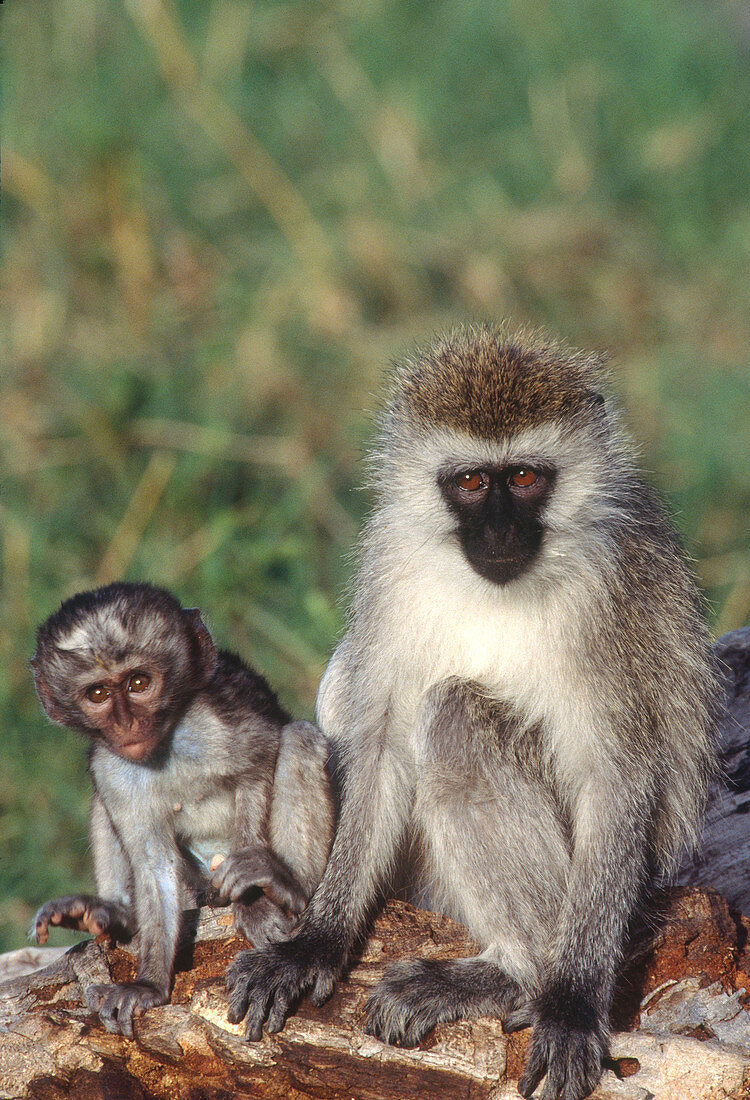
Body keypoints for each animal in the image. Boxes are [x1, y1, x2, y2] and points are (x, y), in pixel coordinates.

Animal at [30, 585, 332, 1038]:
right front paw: (148, 984)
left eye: (139, 682)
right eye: (98, 694)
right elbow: (154, 863)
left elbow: (257, 768)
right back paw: (114, 915)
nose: (126, 724)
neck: (165, 745)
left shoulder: (219, 724)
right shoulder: (112, 769)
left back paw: (291, 888)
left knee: (299, 739)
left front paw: (255, 899)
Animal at [225, 325, 717, 1100]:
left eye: (524, 479)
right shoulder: (391, 569)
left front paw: (571, 1003)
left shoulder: (606, 600)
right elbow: (382, 743)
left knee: (457, 716)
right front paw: (315, 941)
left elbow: (615, 778)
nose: (500, 534)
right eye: (470, 483)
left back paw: (517, 977)